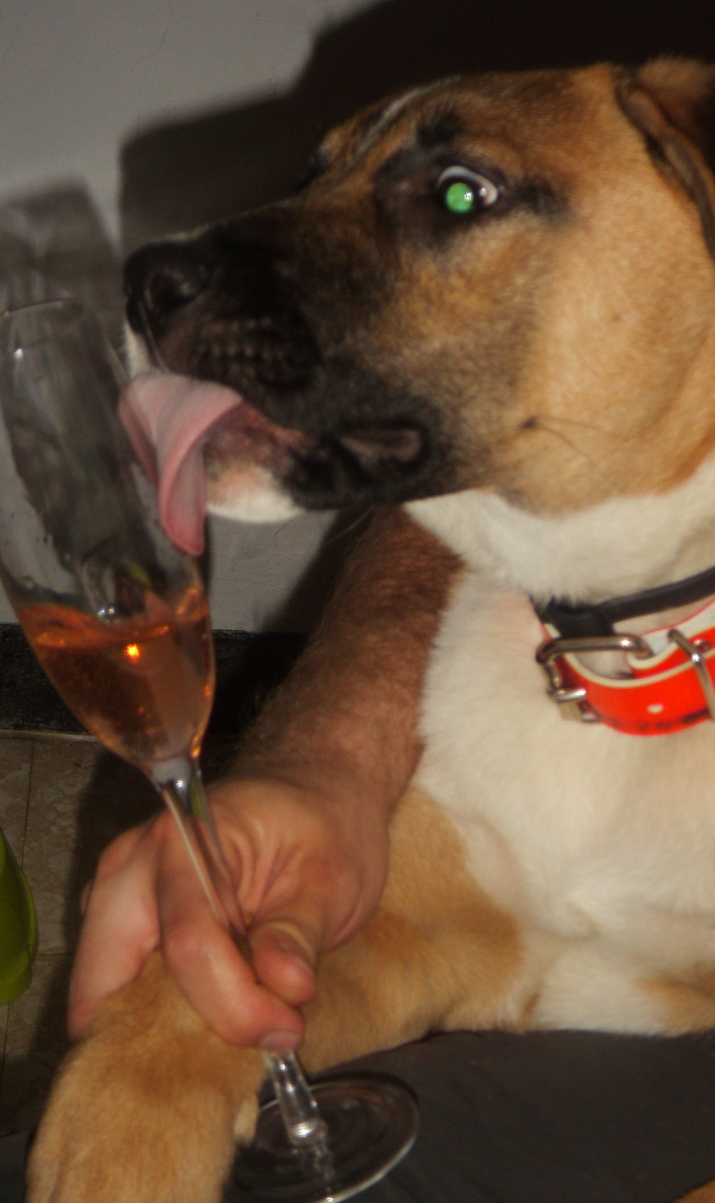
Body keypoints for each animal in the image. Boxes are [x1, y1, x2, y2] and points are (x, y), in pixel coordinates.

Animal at [26, 57, 715, 1203]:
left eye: (461, 192)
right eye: (315, 168)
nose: (143, 280)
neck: (628, 657)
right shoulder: (424, 931)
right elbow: (192, 996)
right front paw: (114, 1138)